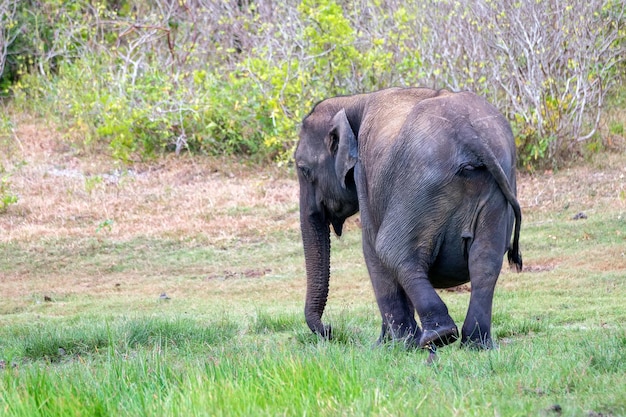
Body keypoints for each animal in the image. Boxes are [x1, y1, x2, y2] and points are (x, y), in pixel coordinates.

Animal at [294, 86, 520, 350]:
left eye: (304, 170)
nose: (329, 330)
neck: (352, 102)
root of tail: (468, 133)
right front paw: (389, 345)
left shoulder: (364, 175)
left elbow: (371, 250)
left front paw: (392, 347)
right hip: (496, 187)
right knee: (485, 261)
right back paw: (475, 344)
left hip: (420, 186)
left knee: (393, 251)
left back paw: (437, 337)